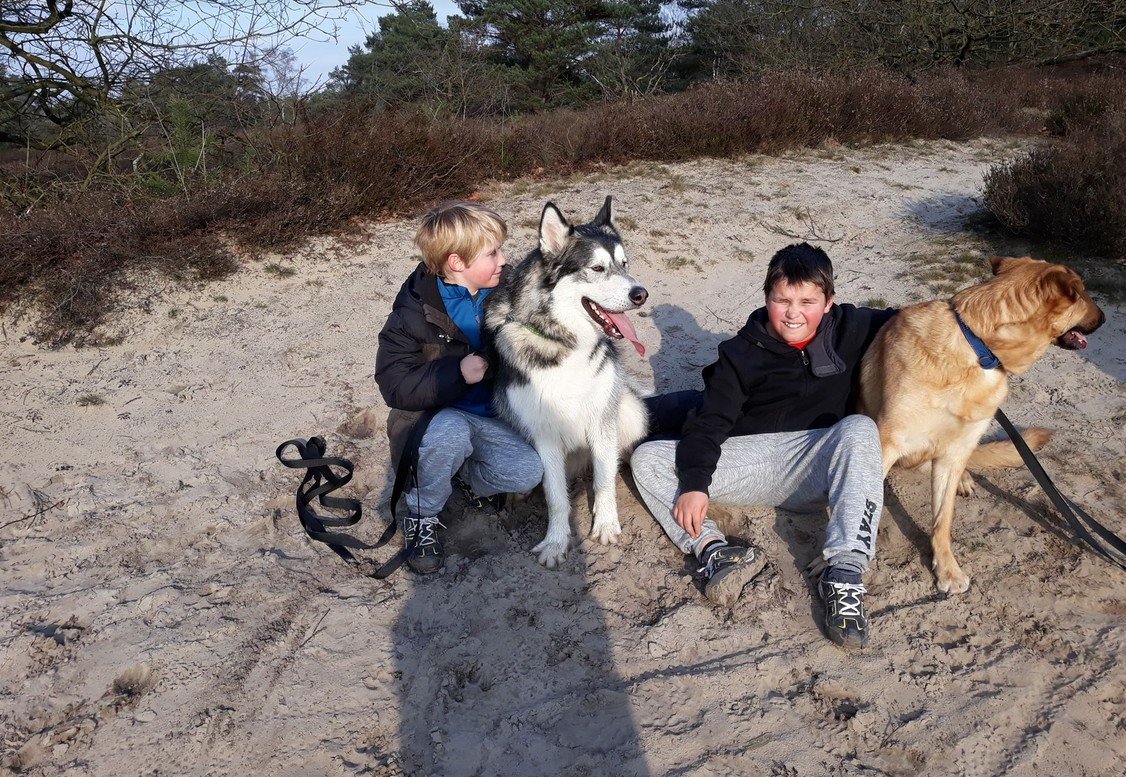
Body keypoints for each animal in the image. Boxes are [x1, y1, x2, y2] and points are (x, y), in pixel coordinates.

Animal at [484, 197, 653, 565]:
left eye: (624, 264)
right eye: (597, 268)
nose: (641, 294)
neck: (566, 343)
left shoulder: (602, 421)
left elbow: (604, 479)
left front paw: (606, 524)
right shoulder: (543, 435)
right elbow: (555, 497)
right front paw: (556, 541)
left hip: (630, 411)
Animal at [864, 256, 1103, 590]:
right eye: (1082, 294)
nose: (1104, 318)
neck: (978, 347)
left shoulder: (954, 453)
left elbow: (943, 520)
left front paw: (947, 568)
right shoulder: (885, 444)